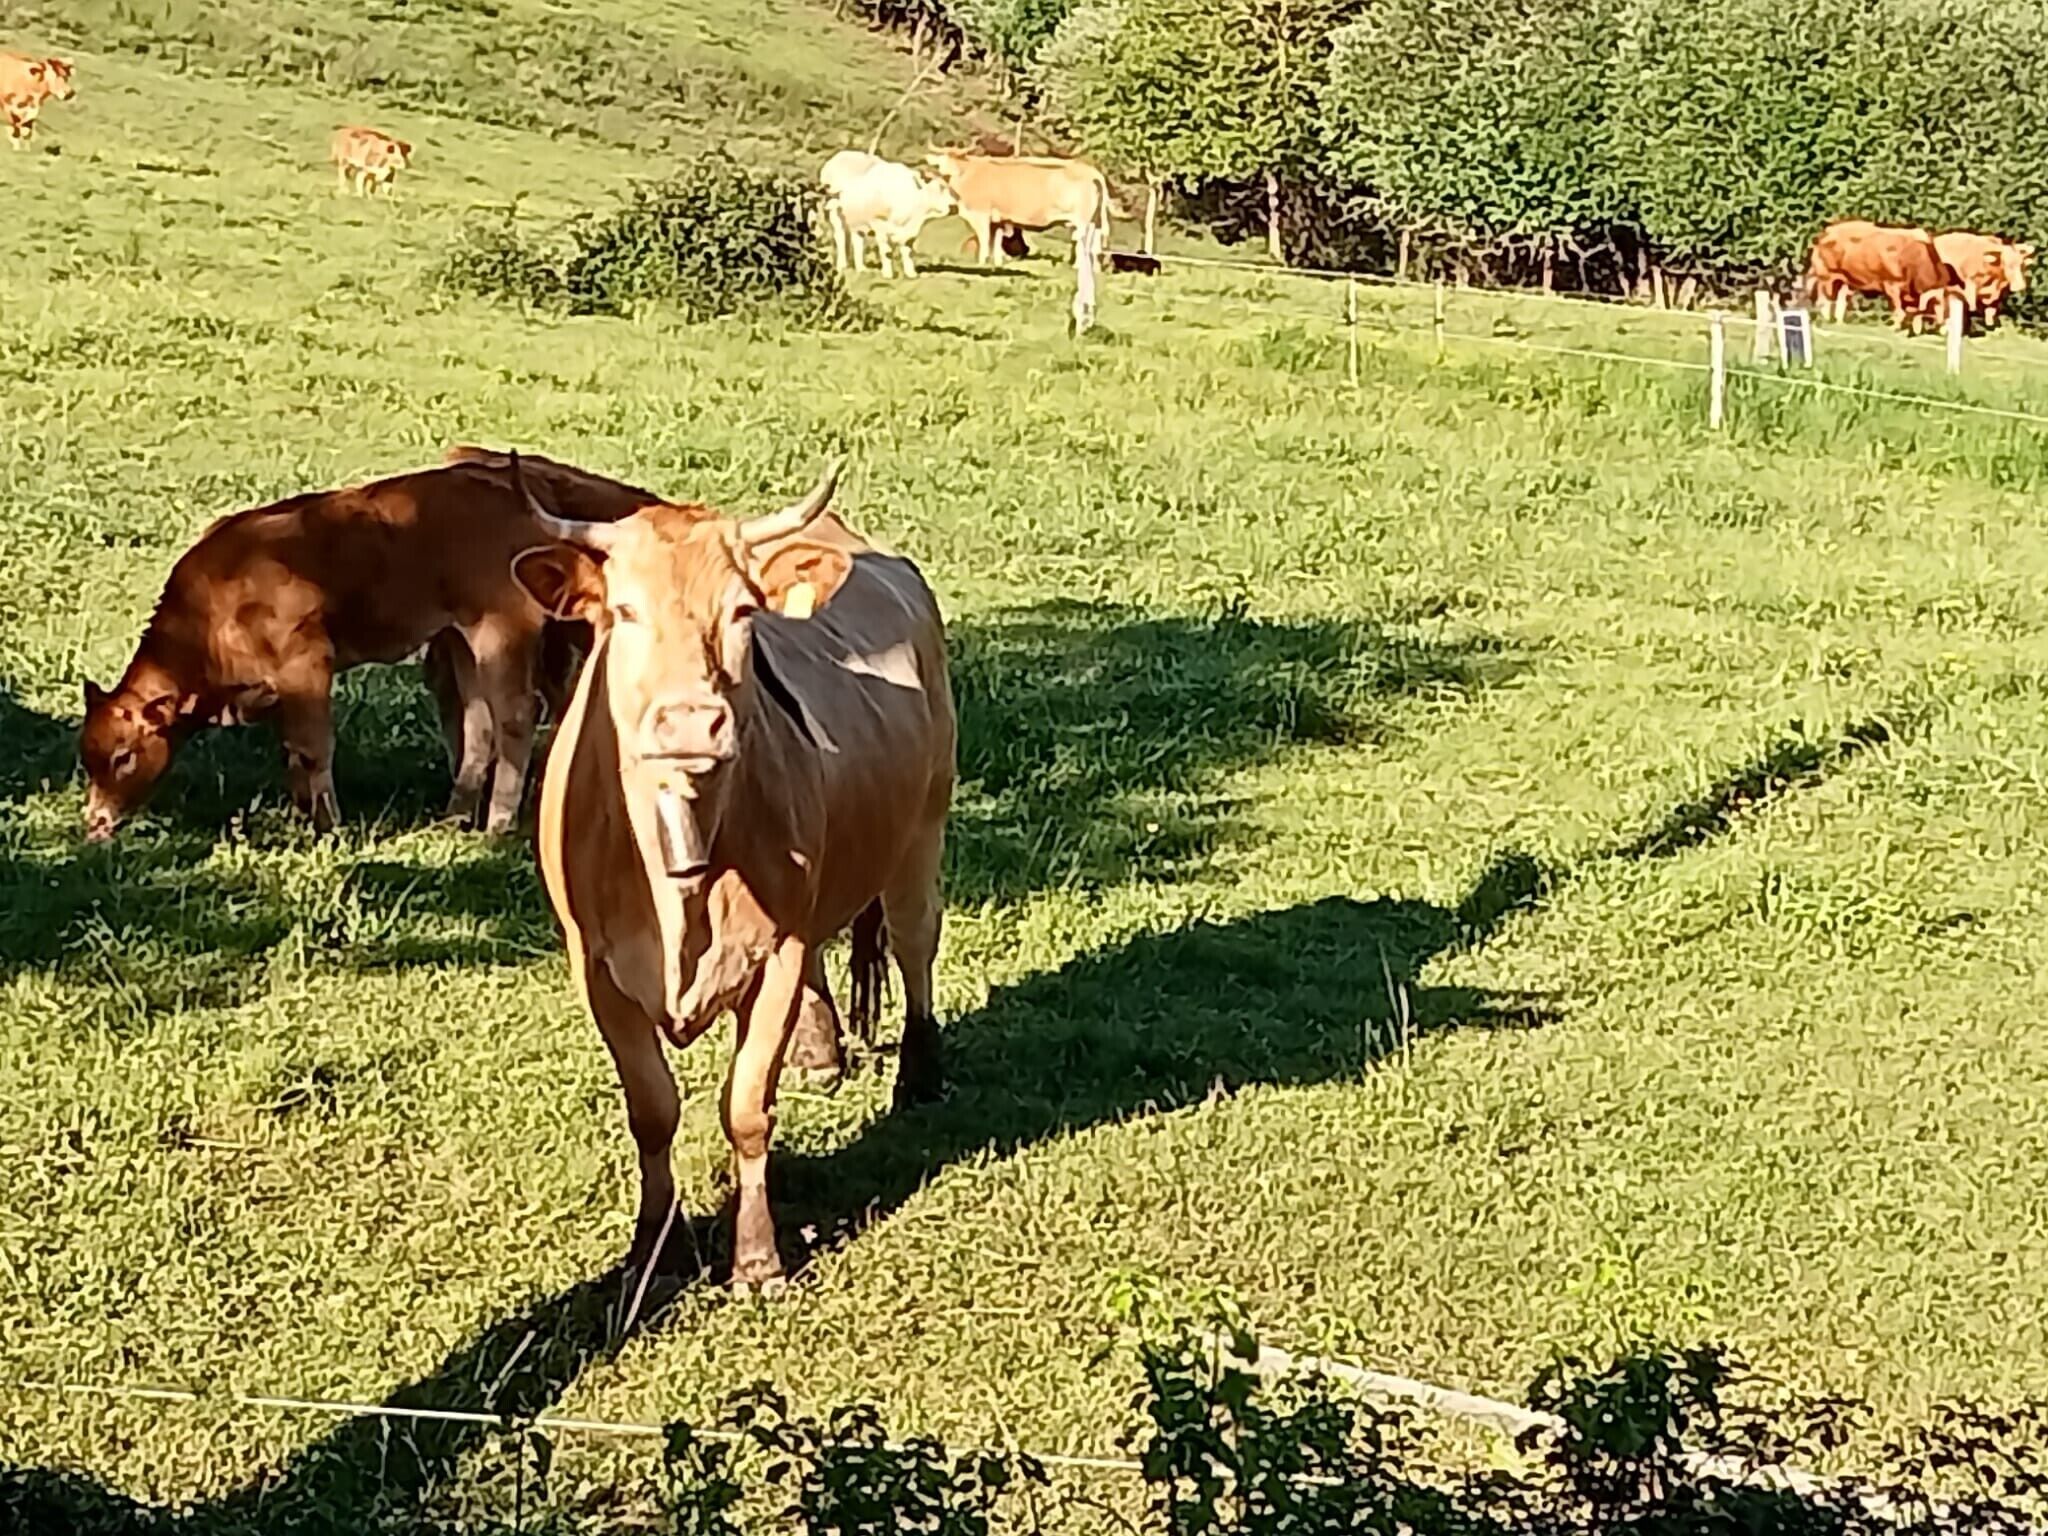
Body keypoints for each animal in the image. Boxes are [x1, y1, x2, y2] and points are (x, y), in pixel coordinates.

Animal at [80, 452, 658, 842]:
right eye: (87, 758)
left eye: (124, 756)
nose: (95, 822)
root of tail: (507, 485)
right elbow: (294, 752)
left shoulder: (308, 663)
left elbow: (314, 749)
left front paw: (330, 828)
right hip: (460, 640)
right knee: (479, 723)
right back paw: (454, 814)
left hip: (500, 631)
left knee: (514, 718)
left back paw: (496, 823)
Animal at [509, 456, 954, 1286]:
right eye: (623, 610)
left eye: (744, 611)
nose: (691, 722)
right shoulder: (596, 969)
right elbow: (652, 1111)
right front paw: (652, 1249)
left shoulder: (775, 952)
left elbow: (746, 1106)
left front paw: (755, 1258)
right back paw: (820, 1051)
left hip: (921, 832)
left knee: (915, 945)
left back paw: (917, 1072)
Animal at [819, 150, 956, 277]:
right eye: (938, 187)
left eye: (948, 187)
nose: (954, 206)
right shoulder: (879, 224)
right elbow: (886, 251)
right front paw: (888, 274)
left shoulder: (910, 231)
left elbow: (907, 251)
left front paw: (911, 274)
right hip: (835, 211)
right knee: (840, 236)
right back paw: (842, 266)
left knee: (857, 239)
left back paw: (861, 268)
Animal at [925, 151, 1112, 267]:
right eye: (939, 164)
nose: (946, 175)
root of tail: (1092, 172)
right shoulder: (998, 219)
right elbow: (996, 240)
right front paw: (997, 263)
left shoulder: (981, 214)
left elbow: (984, 238)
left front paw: (981, 262)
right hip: (1095, 220)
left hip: (1083, 220)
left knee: (1083, 241)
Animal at [1804, 220, 1965, 334]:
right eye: (1944, 306)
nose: (1948, 330)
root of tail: (1827, 231)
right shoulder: (1892, 285)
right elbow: (1900, 310)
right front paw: (1895, 328)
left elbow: (1912, 313)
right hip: (1826, 275)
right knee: (1824, 299)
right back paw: (1827, 319)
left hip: (1846, 280)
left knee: (1841, 300)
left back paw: (1839, 322)